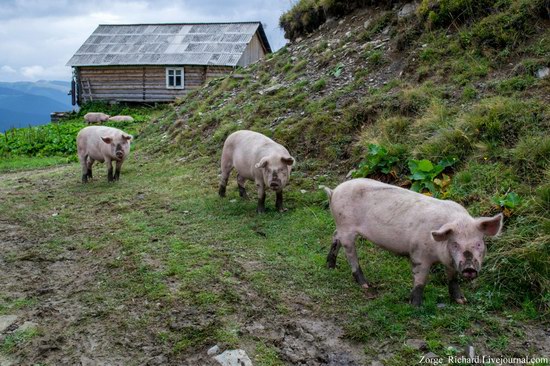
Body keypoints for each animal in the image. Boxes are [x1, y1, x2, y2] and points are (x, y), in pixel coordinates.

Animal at [326, 177, 506, 306]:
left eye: (479, 243)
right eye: (455, 244)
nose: (469, 268)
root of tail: (334, 191)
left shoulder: (451, 262)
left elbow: (453, 278)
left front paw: (462, 301)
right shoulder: (419, 254)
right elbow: (421, 279)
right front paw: (416, 306)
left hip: (340, 227)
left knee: (335, 237)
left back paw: (331, 267)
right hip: (346, 227)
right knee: (350, 253)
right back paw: (365, 285)